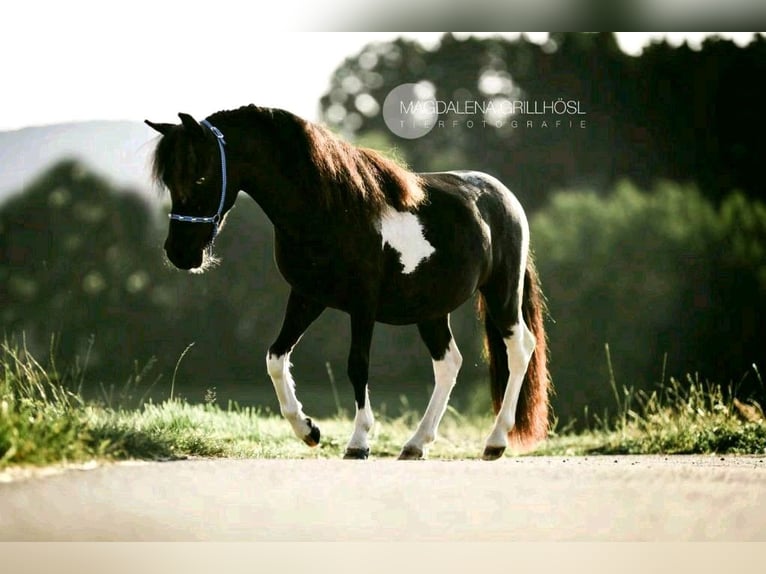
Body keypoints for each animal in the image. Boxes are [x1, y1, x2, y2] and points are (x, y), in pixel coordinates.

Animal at [145, 105, 550, 460]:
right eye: (168, 180)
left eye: (199, 176)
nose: (180, 253)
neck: (327, 209)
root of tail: (502, 196)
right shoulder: (307, 296)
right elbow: (275, 357)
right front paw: (308, 431)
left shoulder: (362, 304)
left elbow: (358, 365)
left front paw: (358, 442)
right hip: (431, 309)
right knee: (449, 363)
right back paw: (416, 444)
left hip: (501, 293)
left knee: (519, 349)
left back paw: (495, 442)